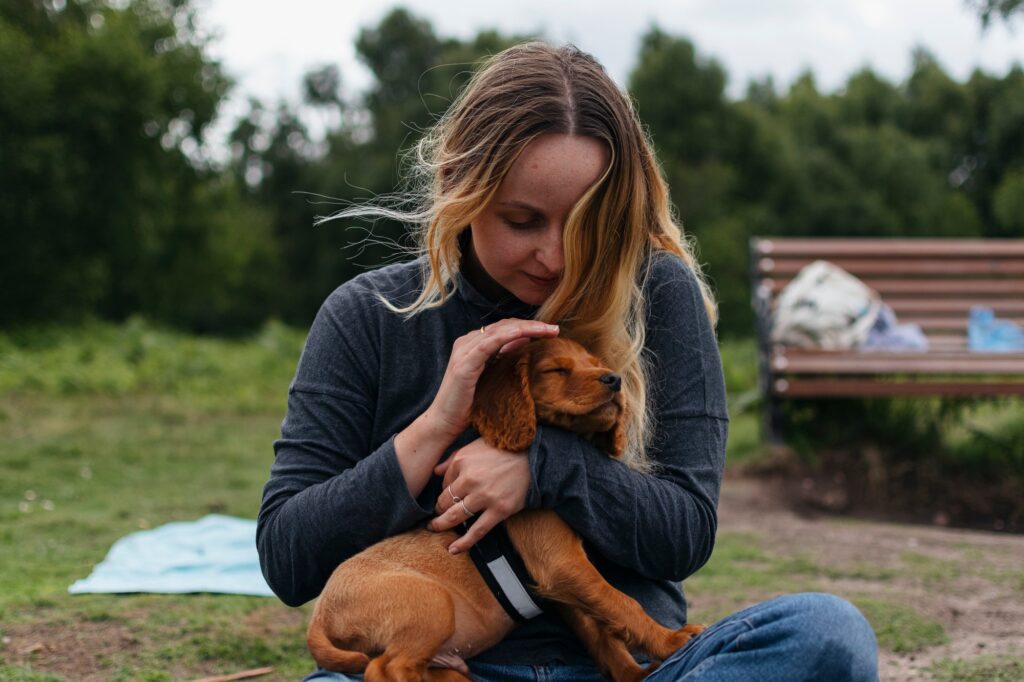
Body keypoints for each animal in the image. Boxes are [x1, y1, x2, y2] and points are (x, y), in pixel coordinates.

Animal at [303, 335, 704, 679]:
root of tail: (320, 616)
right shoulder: (561, 564)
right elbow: (621, 602)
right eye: (556, 370)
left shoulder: (562, 589)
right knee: (385, 669)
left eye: (595, 364)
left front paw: (633, 674)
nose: (614, 379)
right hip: (432, 604)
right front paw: (670, 641)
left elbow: (601, 633)